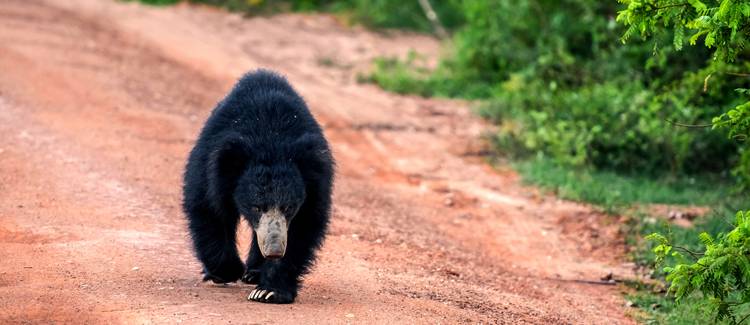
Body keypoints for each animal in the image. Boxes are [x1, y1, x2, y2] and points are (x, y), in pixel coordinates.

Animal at [182, 69, 334, 302]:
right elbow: (208, 208)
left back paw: (254, 273)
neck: (271, 139)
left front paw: (268, 291)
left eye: (289, 207)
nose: (274, 250)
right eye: (256, 207)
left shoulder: (315, 185)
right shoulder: (212, 165)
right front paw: (227, 271)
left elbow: (304, 226)